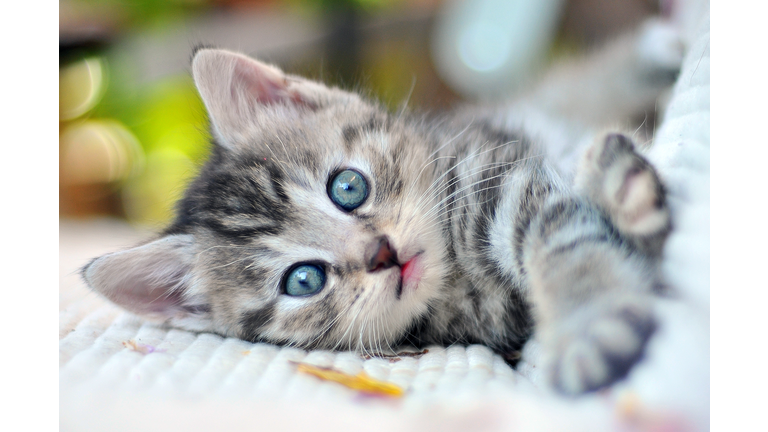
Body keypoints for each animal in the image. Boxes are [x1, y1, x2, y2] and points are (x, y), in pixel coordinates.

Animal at [84, 21, 680, 394]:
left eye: (347, 187)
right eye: (303, 280)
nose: (381, 253)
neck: (455, 274)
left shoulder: (502, 172)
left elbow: (558, 237)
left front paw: (587, 320)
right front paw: (595, 324)